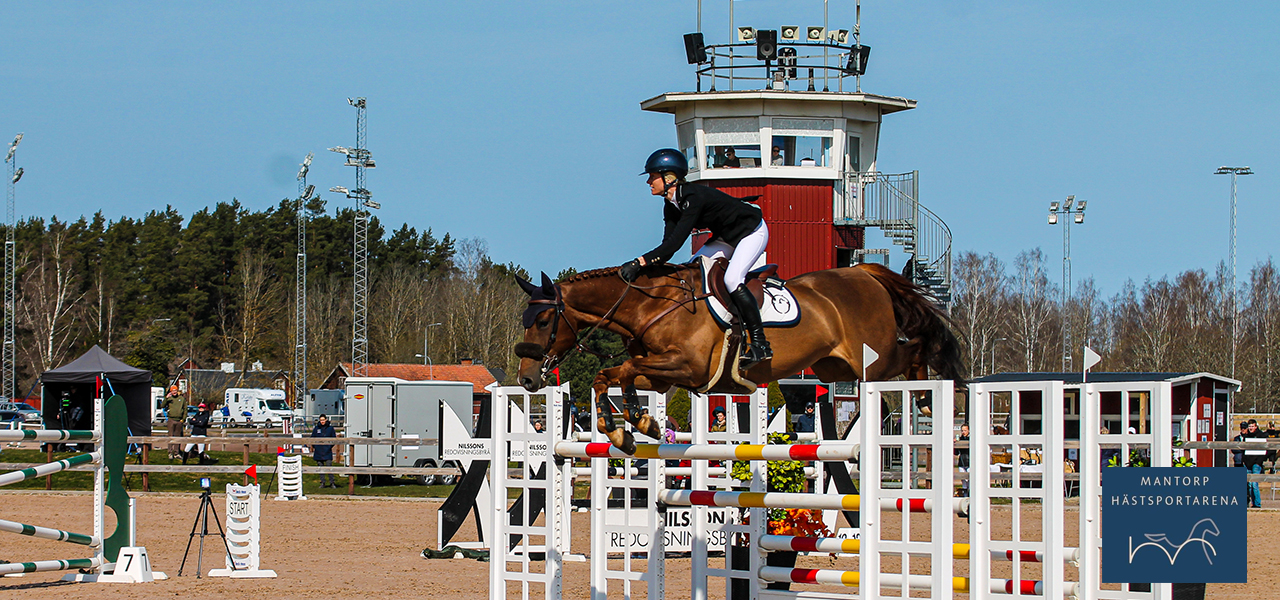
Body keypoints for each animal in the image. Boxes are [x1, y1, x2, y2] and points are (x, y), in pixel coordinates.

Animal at [514, 259, 962, 450]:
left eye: (543, 321)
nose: (527, 378)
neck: (649, 303)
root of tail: (863, 272)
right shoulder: (664, 374)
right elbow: (610, 375)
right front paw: (629, 427)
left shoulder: (686, 366)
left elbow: (620, 369)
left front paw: (634, 422)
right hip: (833, 366)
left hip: (874, 360)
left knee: (915, 350)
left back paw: (928, 397)